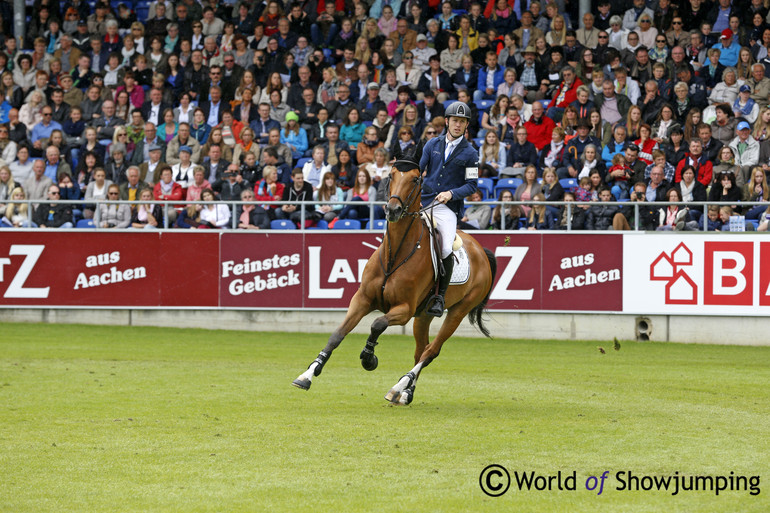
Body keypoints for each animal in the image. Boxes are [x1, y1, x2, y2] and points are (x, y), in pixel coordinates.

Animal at [292, 140, 496, 404]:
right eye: (391, 175)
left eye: (416, 178)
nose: (393, 210)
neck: (396, 254)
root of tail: (481, 250)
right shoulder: (363, 299)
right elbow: (337, 334)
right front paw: (307, 374)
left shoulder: (404, 310)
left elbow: (377, 324)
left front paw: (369, 358)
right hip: (424, 315)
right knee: (421, 349)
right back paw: (405, 392)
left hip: (458, 310)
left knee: (431, 350)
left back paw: (399, 386)